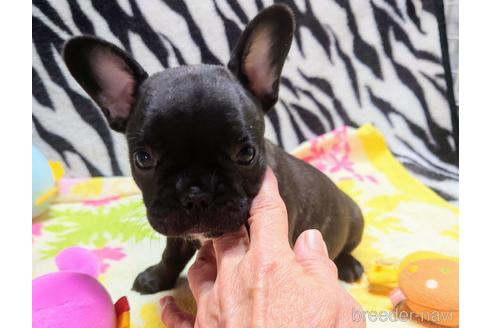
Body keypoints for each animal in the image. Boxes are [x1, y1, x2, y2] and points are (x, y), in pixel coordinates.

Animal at [62, 3, 366, 294]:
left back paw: (348, 265)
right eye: (143, 159)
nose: (196, 194)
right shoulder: (177, 235)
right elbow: (170, 256)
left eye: (246, 154)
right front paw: (156, 279)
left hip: (355, 220)